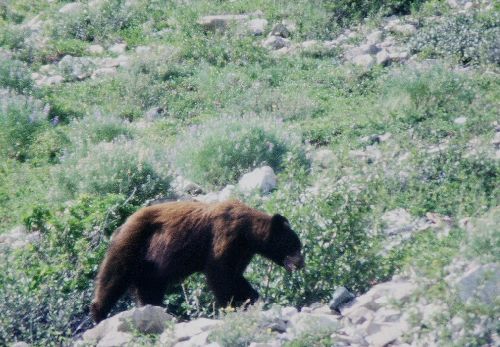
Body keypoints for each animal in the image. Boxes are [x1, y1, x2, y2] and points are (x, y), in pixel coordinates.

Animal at [92, 200, 306, 324]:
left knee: (150, 290)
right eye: (294, 245)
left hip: (150, 268)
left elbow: (235, 275)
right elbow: (219, 274)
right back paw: (98, 314)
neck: (248, 233)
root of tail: (121, 225)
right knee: (113, 276)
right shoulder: (225, 237)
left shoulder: (242, 251)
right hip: (133, 245)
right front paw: (230, 306)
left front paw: (251, 298)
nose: (301, 263)